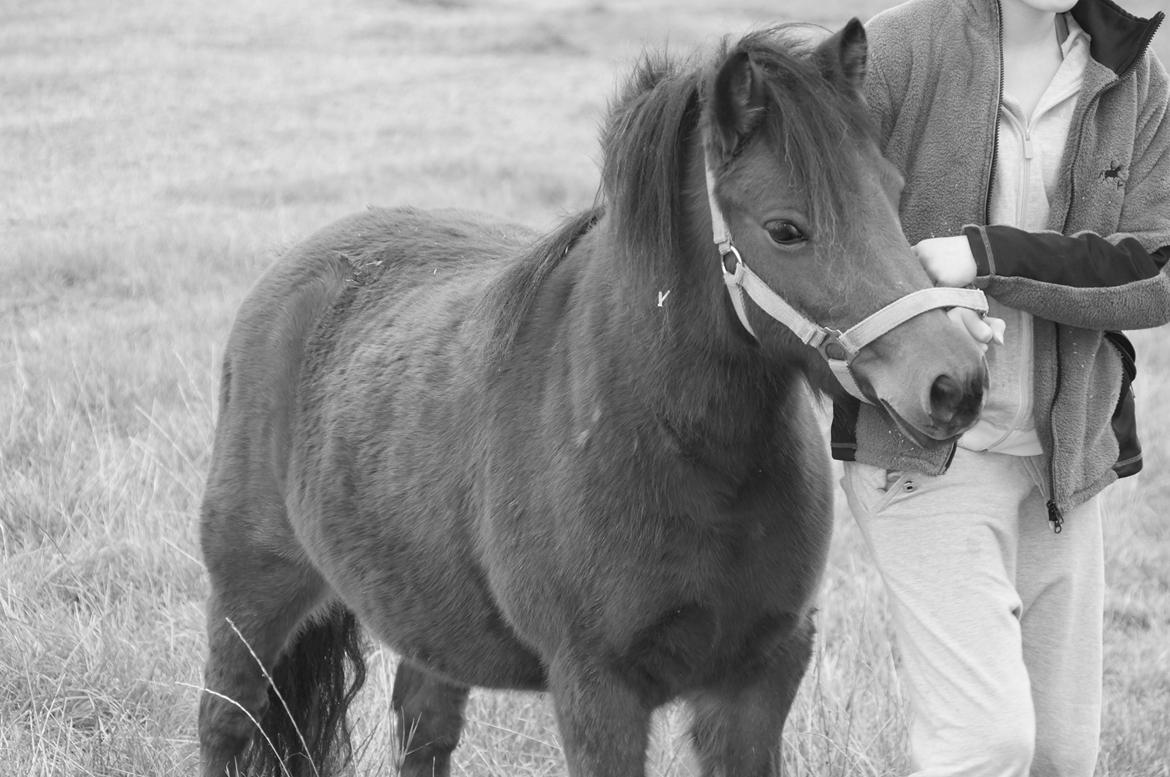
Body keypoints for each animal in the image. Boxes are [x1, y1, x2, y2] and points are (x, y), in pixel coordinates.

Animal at [198, 18, 987, 777]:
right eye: (785, 229)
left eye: (892, 189)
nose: (955, 382)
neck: (676, 447)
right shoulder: (597, 689)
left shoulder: (756, 680)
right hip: (251, 598)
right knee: (224, 724)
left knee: (424, 737)